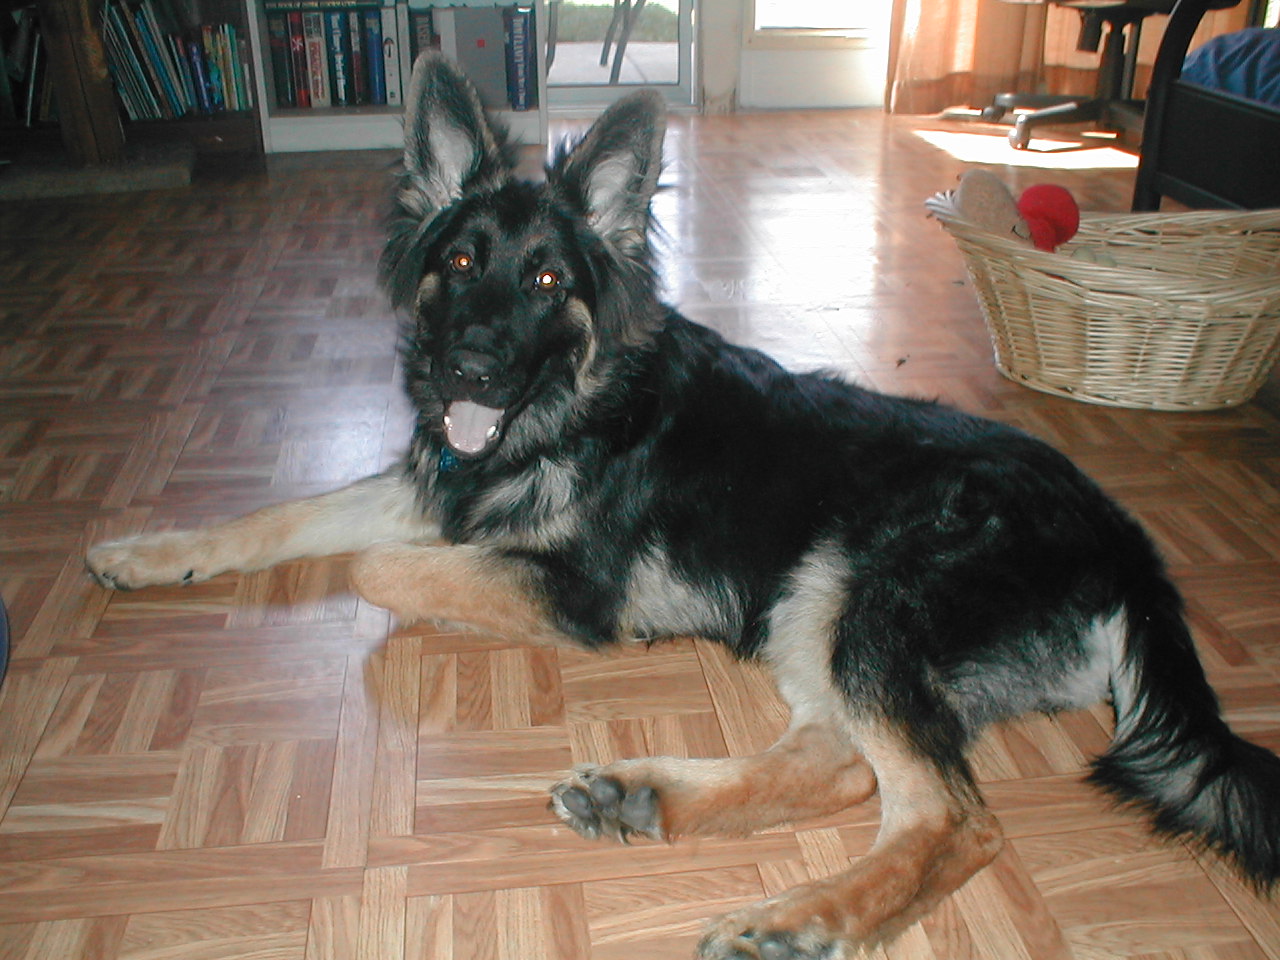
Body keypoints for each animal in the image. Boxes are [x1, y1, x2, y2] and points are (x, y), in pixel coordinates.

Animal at [87, 54, 1280, 960]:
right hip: (812, 608)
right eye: (461, 261)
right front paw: (148, 551)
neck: (571, 410)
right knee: (844, 764)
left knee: (952, 819)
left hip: (862, 593)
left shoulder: (569, 590)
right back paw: (648, 800)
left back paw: (801, 918)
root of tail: (1129, 547)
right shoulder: (434, 487)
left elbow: (370, 569)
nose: (470, 368)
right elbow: (280, 518)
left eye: (547, 283)